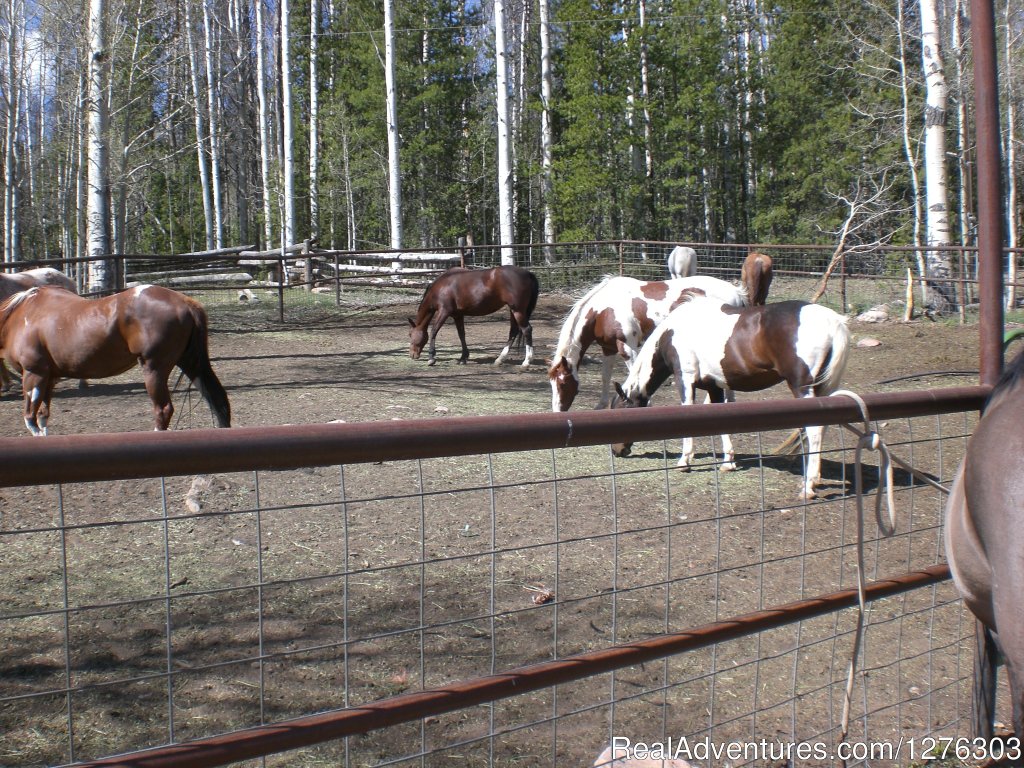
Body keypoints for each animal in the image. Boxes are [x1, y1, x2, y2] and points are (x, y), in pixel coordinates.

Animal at [0, 286, 232, 436]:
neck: (21, 316)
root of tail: (185, 302)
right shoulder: (49, 378)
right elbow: (43, 417)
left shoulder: (34, 374)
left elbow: (31, 421)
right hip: (191, 362)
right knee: (218, 398)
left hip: (154, 369)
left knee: (163, 409)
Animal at [407, 266, 540, 368]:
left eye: (410, 334)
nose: (412, 355)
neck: (442, 286)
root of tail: (528, 274)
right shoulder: (458, 315)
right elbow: (461, 334)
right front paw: (463, 358)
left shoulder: (444, 312)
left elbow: (434, 331)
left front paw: (431, 358)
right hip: (514, 311)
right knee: (513, 331)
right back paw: (499, 360)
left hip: (518, 311)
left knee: (526, 330)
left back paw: (526, 362)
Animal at [548, 274, 749, 411]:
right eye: (552, 384)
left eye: (562, 384)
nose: (558, 411)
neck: (603, 310)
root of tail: (736, 293)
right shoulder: (608, 348)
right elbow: (606, 376)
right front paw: (600, 406)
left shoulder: (627, 346)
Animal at [606, 294, 847, 499]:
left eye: (619, 413)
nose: (616, 451)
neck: (672, 332)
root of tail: (833, 321)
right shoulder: (714, 386)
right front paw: (728, 462)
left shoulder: (685, 379)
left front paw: (685, 461)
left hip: (802, 387)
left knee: (814, 430)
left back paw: (809, 486)